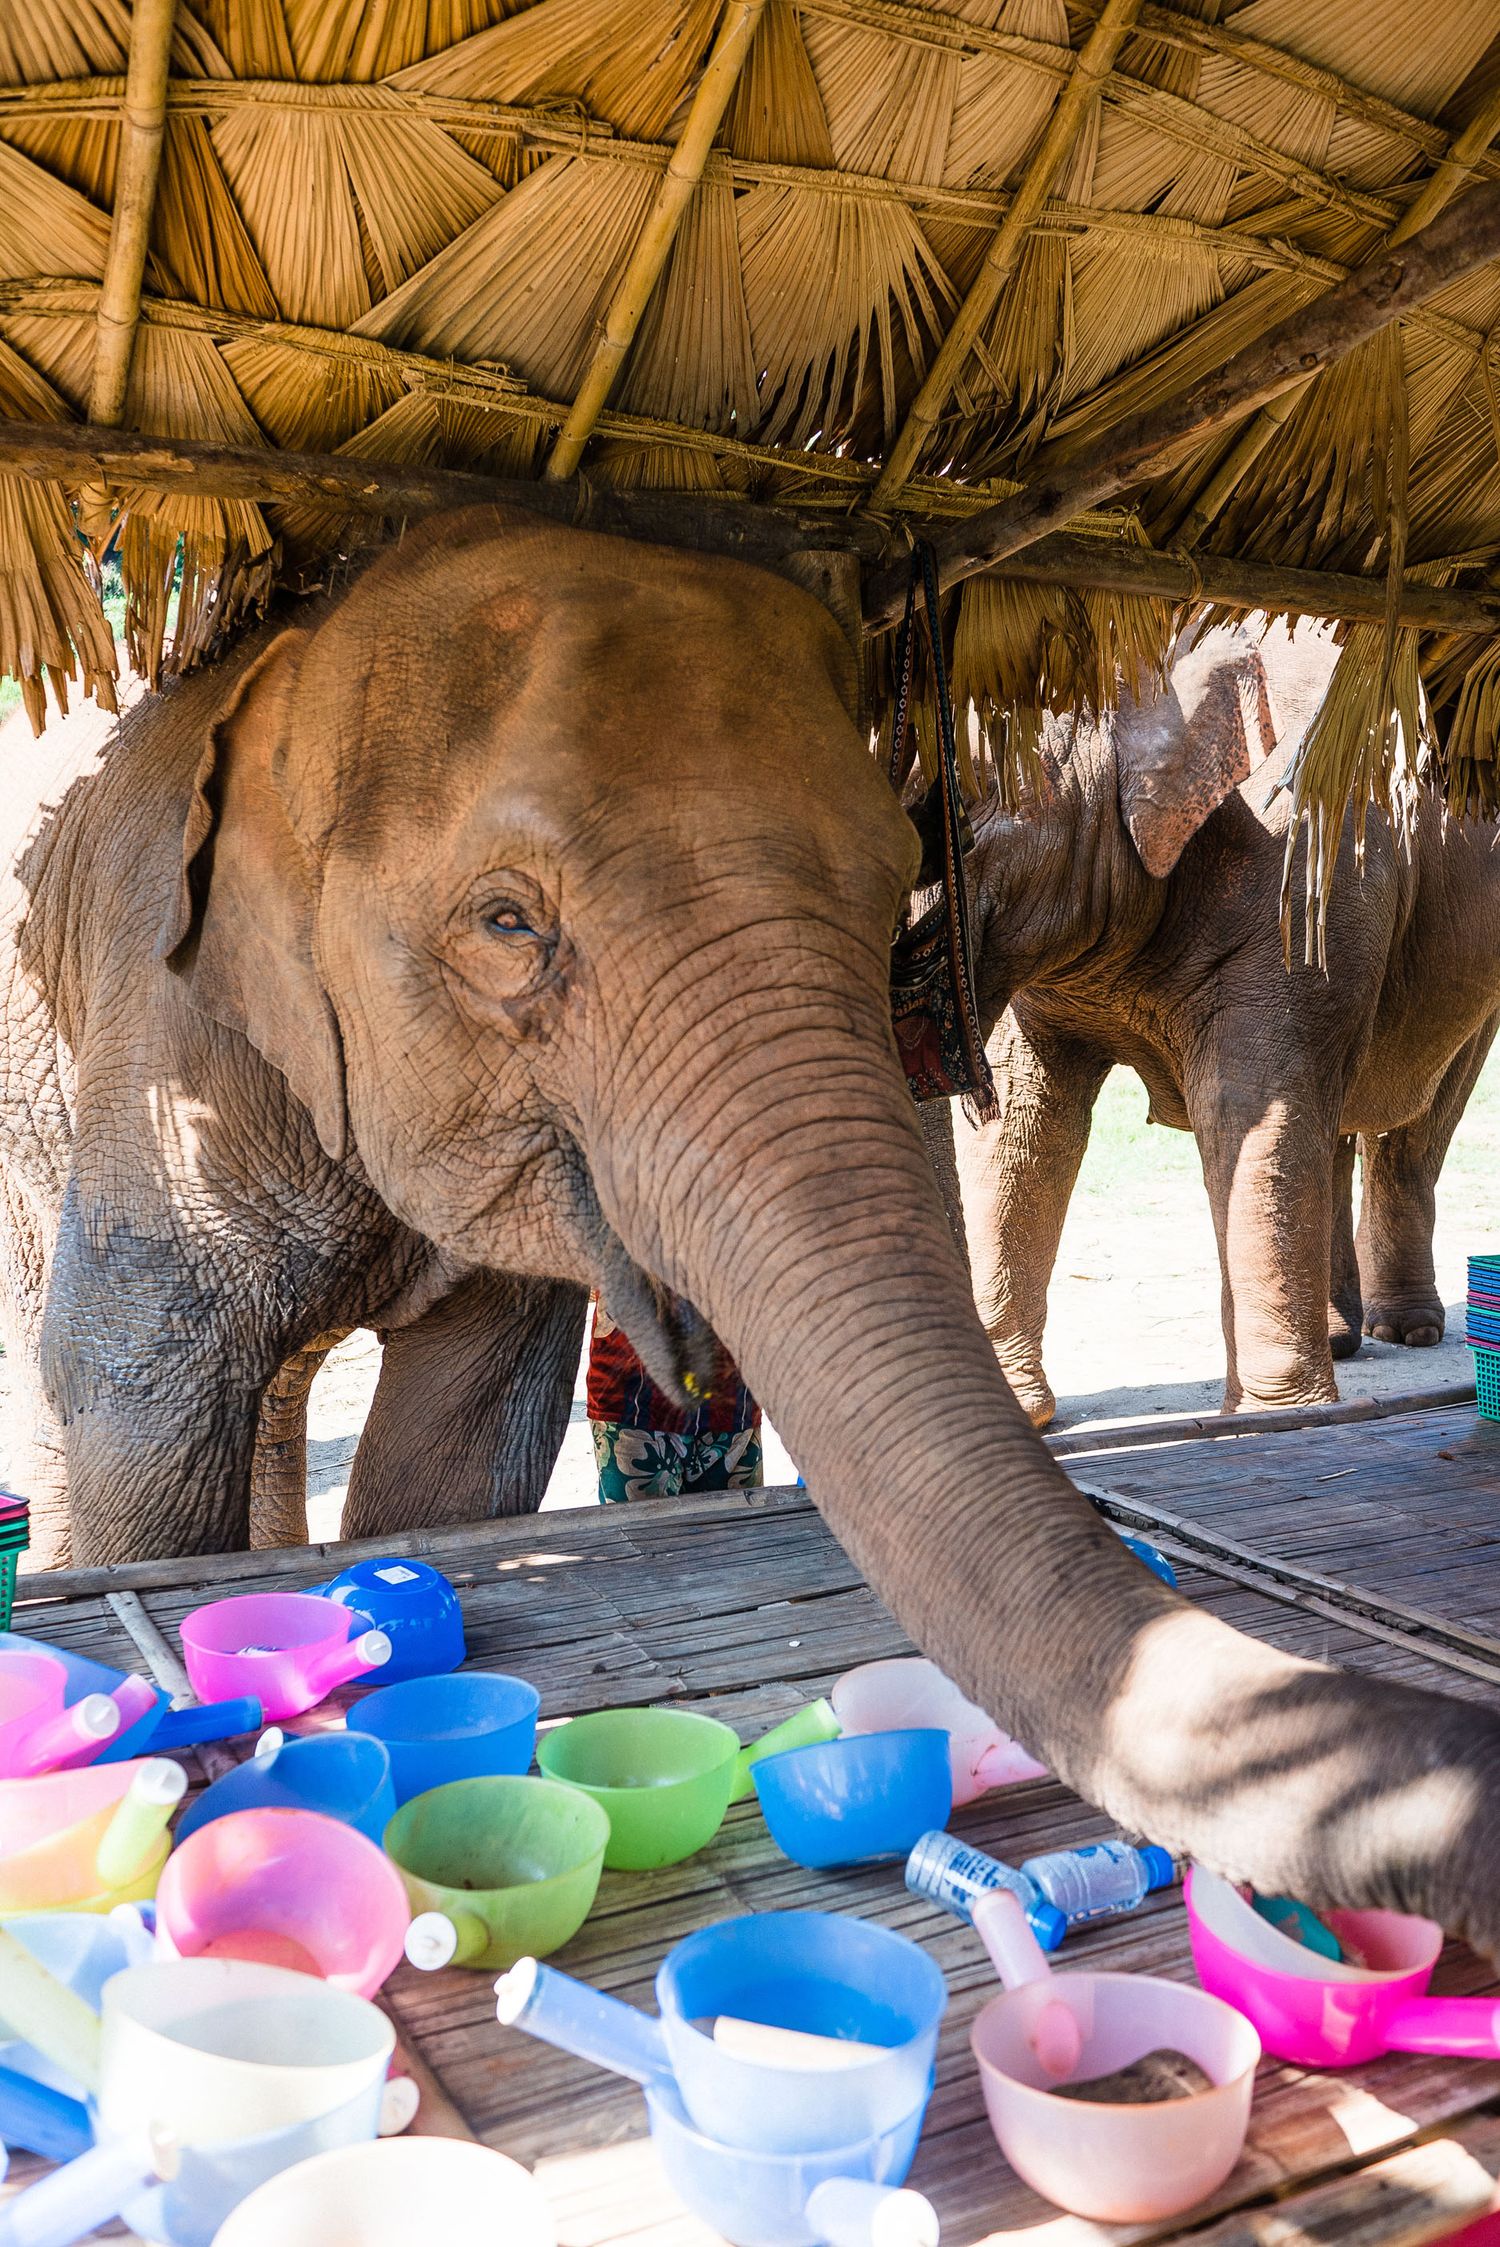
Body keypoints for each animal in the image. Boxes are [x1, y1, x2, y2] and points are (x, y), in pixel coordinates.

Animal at [953, 619, 1500, 1427]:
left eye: (958, 817)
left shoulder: (1300, 875)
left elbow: (1244, 1108)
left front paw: (1279, 1419)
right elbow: (1026, 1119)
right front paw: (1020, 1417)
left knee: (1417, 1114)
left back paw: (1408, 1330)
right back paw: (1339, 1338)